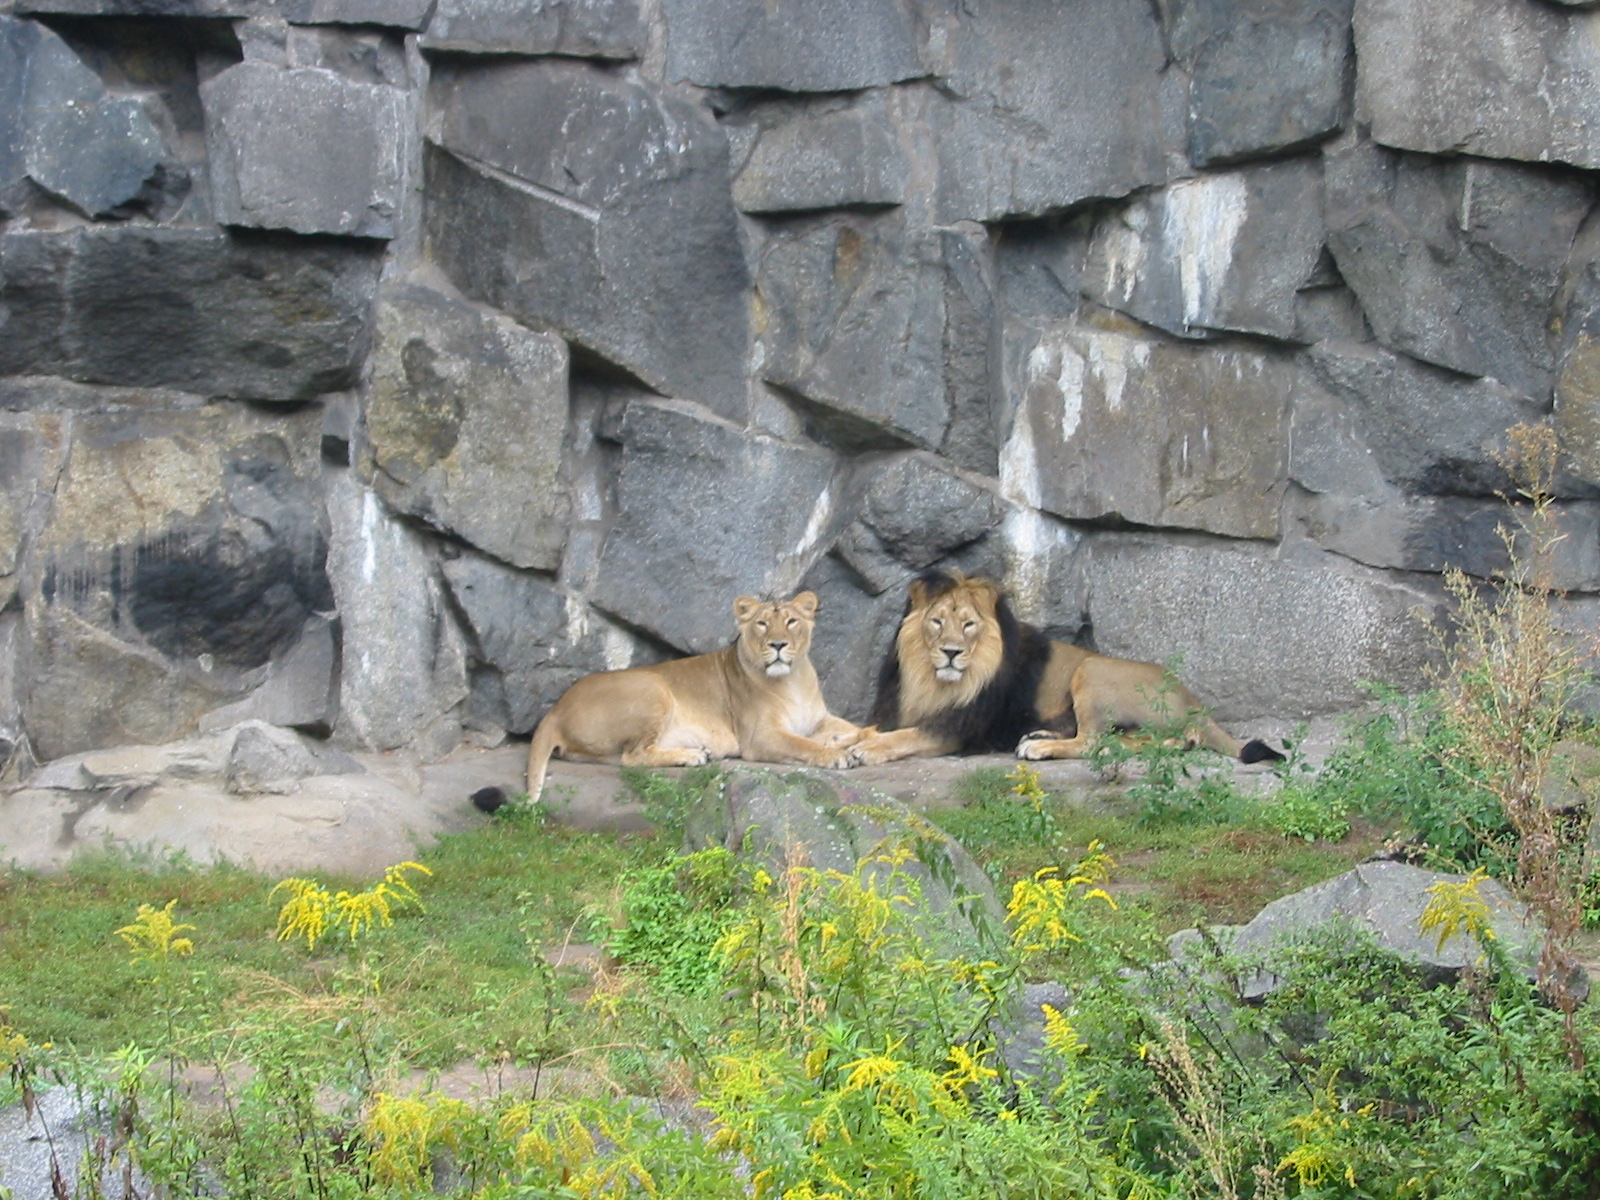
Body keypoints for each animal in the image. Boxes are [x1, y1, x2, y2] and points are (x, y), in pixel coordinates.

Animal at [496, 592, 869, 808]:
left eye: (791, 621)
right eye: (763, 624)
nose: (778, 645)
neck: (793, 680)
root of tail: (556, 708)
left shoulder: (819, 720)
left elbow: (852, 730)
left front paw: (865, 741)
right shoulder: (759, 737)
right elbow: (802, 745)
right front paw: (837, 756)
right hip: (652, 686)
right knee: (633, 758)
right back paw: (693, 755)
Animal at [846, 571, 1284, 766]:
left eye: (968, 624)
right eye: (937, 622)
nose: (952, 652)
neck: (932, 680)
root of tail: (1192, 698)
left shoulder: (957, 728)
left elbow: (906, 737)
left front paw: (867, 749)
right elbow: (870, 728)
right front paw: (850, 741)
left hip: (1090, 670)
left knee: (1091, 743)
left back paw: (1039, 746)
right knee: (1146, 742)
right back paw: (1041, 734)